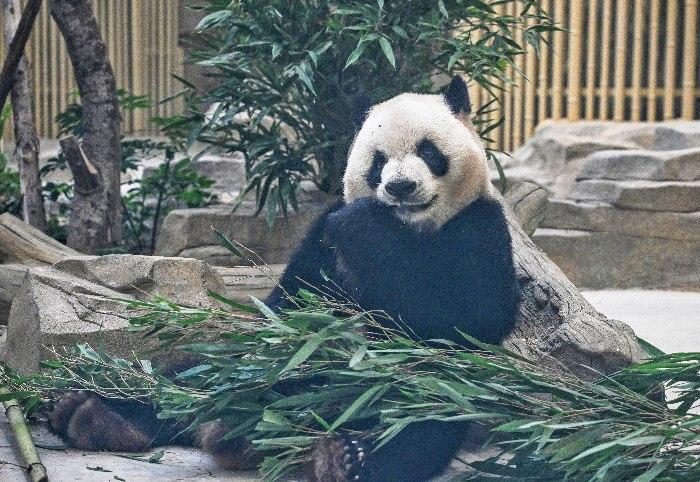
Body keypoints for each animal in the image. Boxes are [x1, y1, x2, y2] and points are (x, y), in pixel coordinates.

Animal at [49, 75, 520, 482]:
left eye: (428, 151)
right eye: (378, 162)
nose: (400, 187)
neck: (411, 229)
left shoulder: (479, 229)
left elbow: (461, 319)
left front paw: (365, 228)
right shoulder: (318, 242)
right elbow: (287, 305)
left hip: (424, 392)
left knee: (417, 417)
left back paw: (344, 457)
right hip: (224, 370)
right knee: (190, 374)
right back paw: (95, 413)